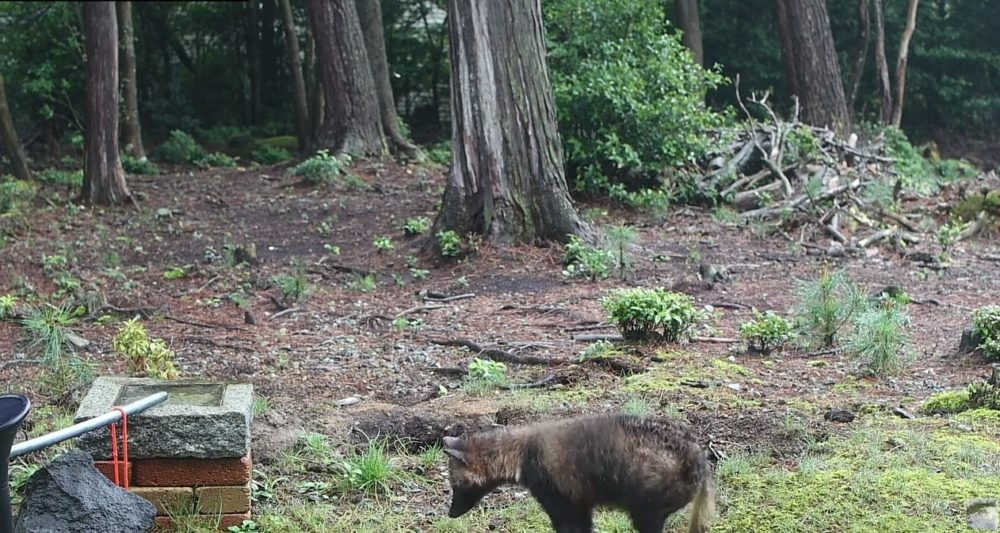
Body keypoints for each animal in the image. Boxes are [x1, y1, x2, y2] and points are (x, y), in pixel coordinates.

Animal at [444, 412, 712, 532]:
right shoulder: (580, 501)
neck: (519, 451)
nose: (451, 514)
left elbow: (569, 526)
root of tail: (698, 456)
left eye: (456, 484)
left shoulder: (560, 496)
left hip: (649, 502)